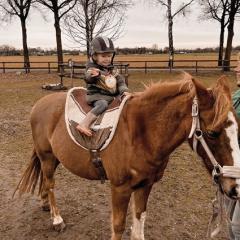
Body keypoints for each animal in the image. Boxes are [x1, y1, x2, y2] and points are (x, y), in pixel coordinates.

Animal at [15, 74, 240, 239]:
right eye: (212, 133)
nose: (236, 188)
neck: (140, 133)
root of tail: (40, 103)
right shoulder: (120, 188)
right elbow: (118, 226)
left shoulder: (145, 185)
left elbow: (139, 222)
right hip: (47, 157)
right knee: (51, 184)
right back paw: (57, 219)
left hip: (54, 158)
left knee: (46, 181)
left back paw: (45, 205)